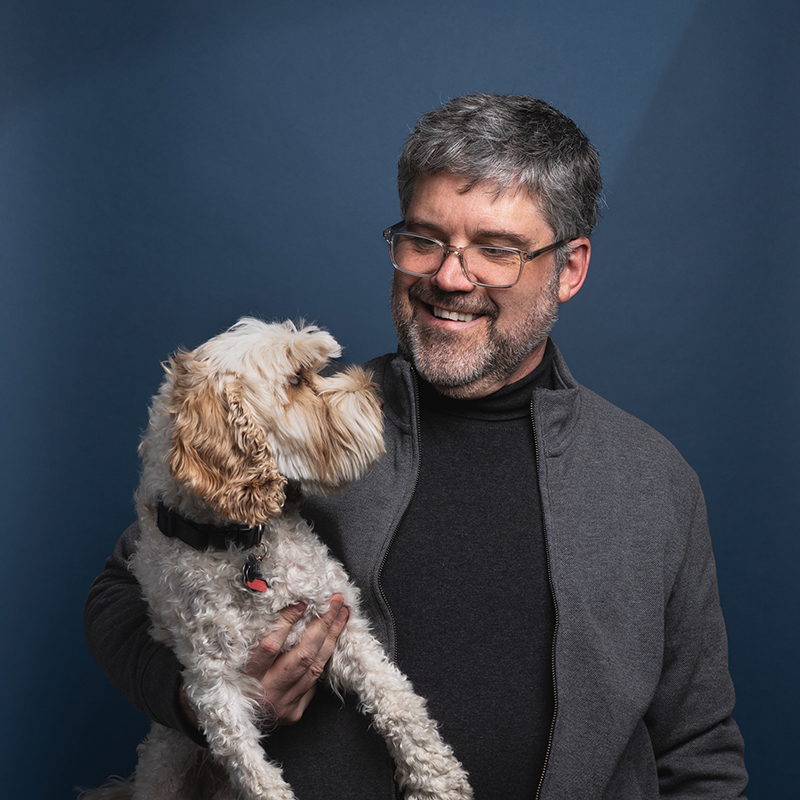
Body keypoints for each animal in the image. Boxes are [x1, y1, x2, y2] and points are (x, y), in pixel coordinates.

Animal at [86, 318, 476, 800]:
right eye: (296, 380)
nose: (378, 395)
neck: (239, 544)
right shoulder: (214, 687)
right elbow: (255, 773)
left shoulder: (338, 621)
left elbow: (398, 701)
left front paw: (437, 780)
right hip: (167, 762)